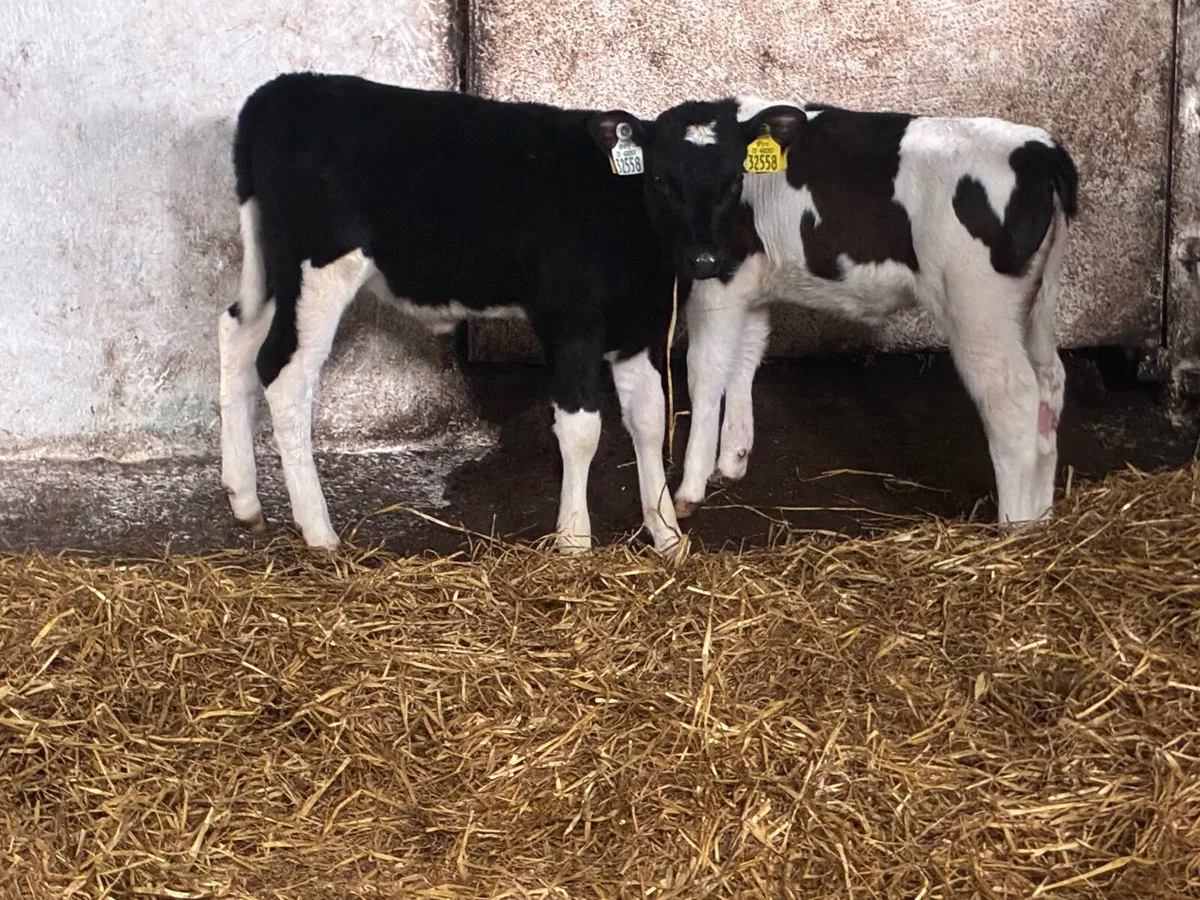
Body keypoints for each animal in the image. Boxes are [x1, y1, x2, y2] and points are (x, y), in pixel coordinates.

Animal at [218, 72, 688, 555]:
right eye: (661, 177)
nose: (706, 257)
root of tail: (282, 88)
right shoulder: (570, 322)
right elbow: (582, 430)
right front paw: (574, 541)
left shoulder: (643, 329)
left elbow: (650, 421)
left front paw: (668, 536)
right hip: (320, 269)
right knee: (283, 370)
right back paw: (318, 531)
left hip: (274, 271)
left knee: (237, 335)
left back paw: (245, 499)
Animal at [587, 96, 1079, 525]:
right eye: (660, 180)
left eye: (732, 183)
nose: (701, 259)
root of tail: (1039, 148)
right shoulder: (754, 283)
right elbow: (745, 359)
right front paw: (733, 458)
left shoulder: (721, 282)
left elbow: (705, 374)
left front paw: (690, 488)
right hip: (1033, 303)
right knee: (1049, 385)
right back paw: (1040, 518)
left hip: (978, 306)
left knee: (1012, 399)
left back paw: (1012, 527)